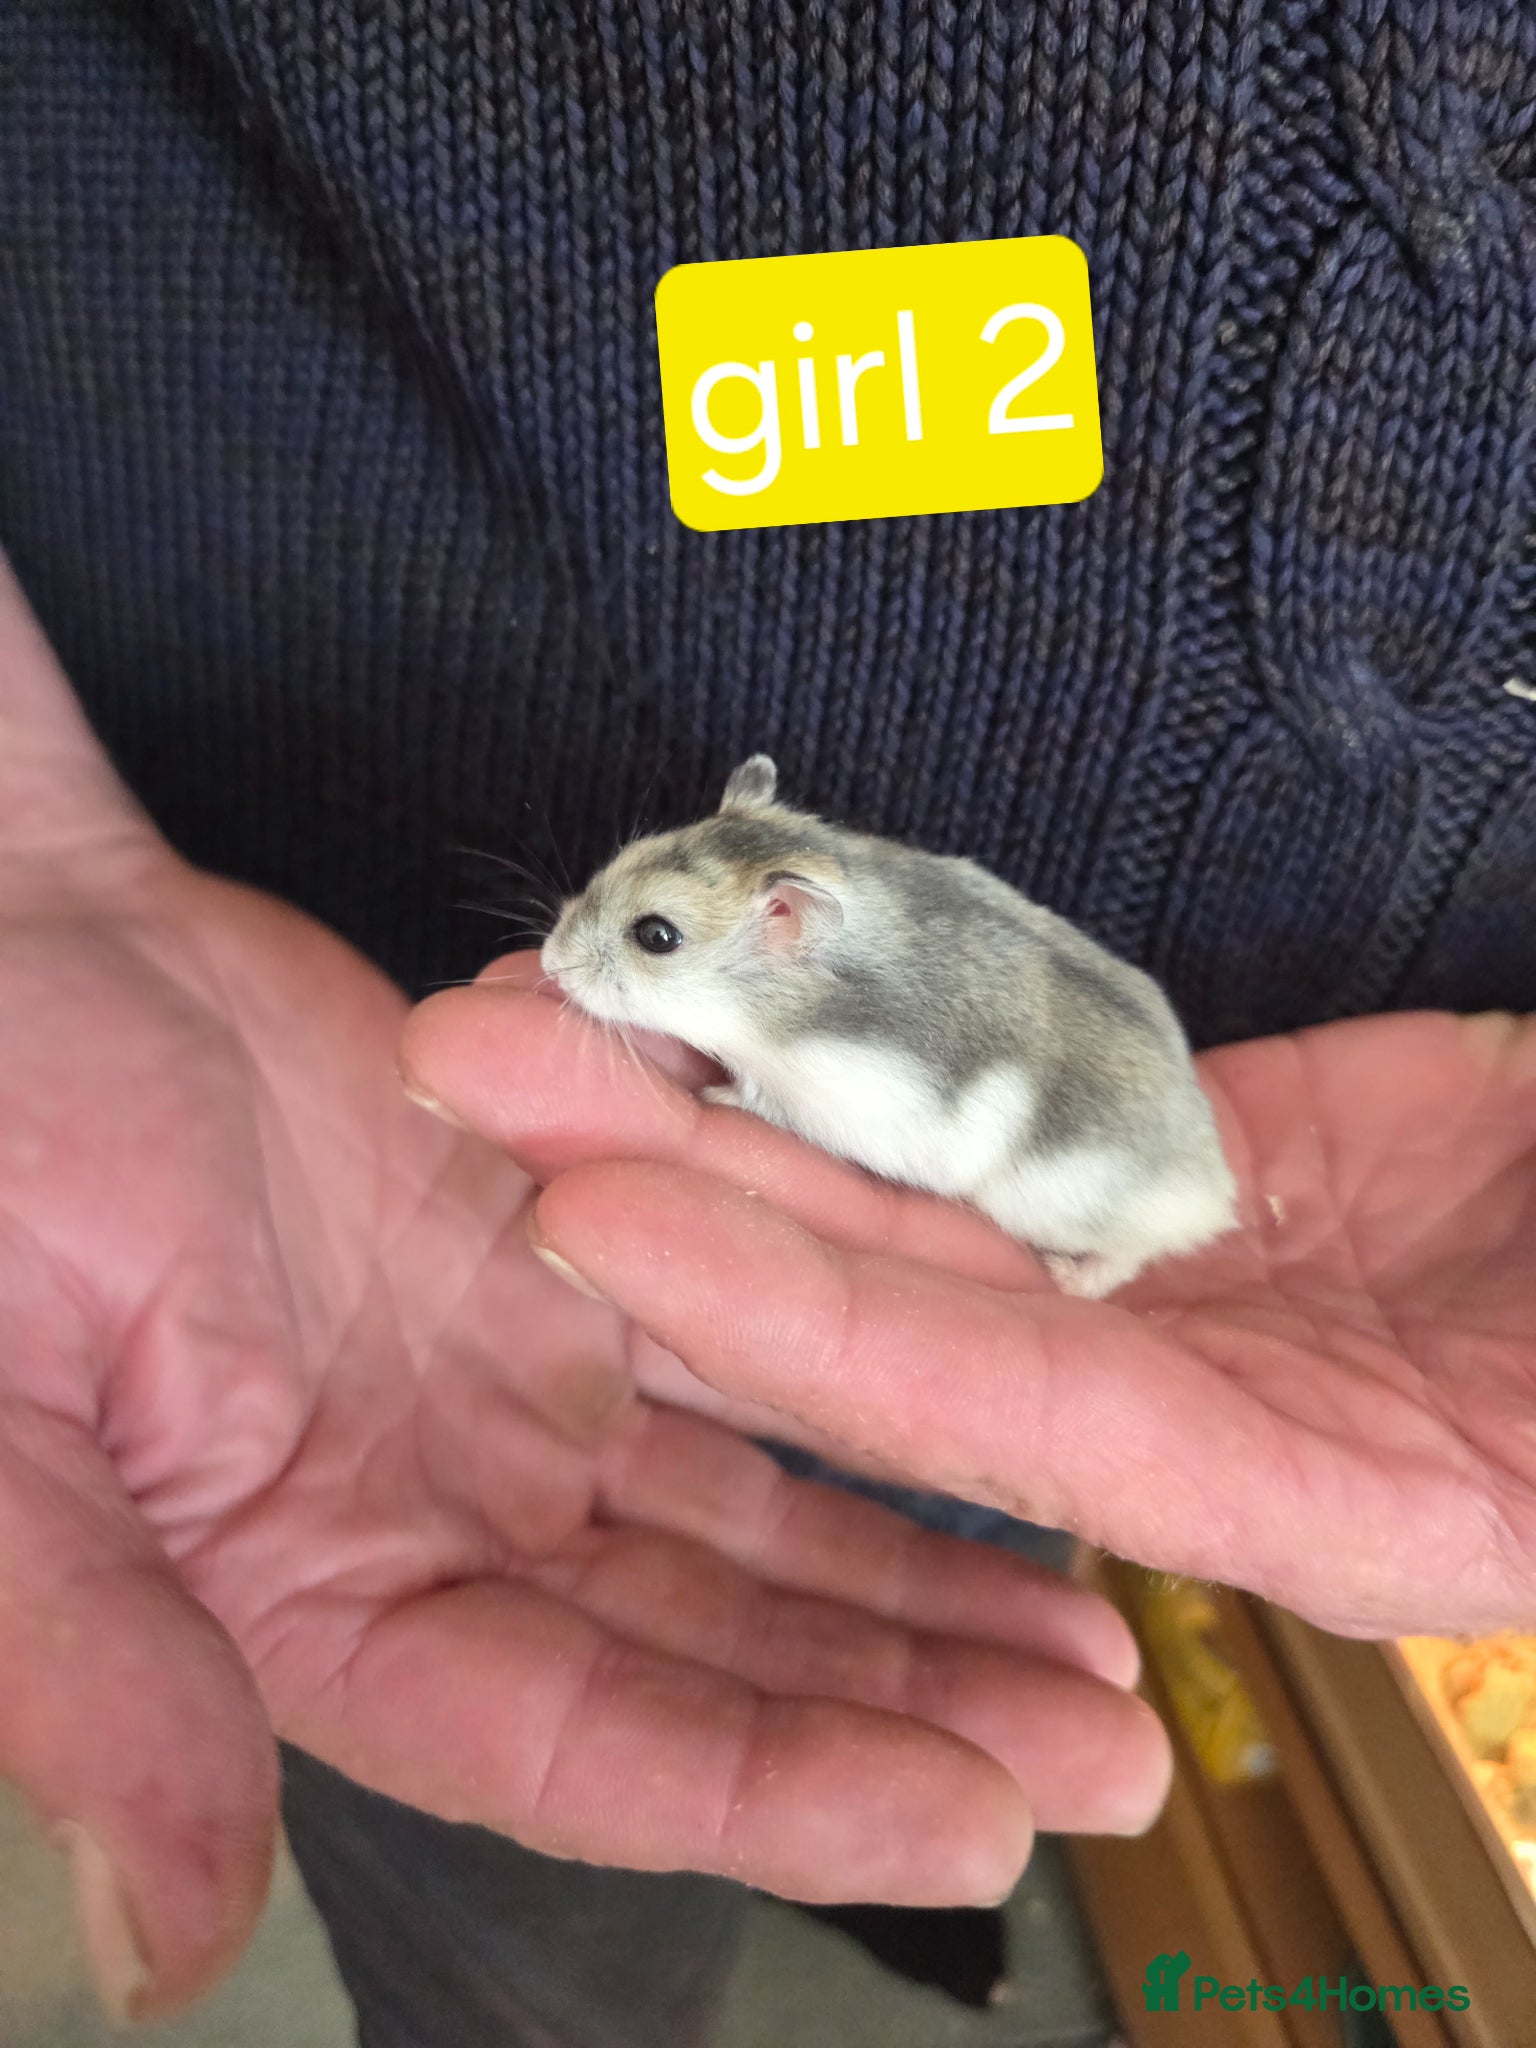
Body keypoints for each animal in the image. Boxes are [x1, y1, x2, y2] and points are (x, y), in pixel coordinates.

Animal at [540, 755, 1237, 1298]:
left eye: (657, 936)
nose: (548, 962)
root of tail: (1215, 1187)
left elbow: (759, 1095)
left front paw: (716, 1092)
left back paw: (1070, 1277)